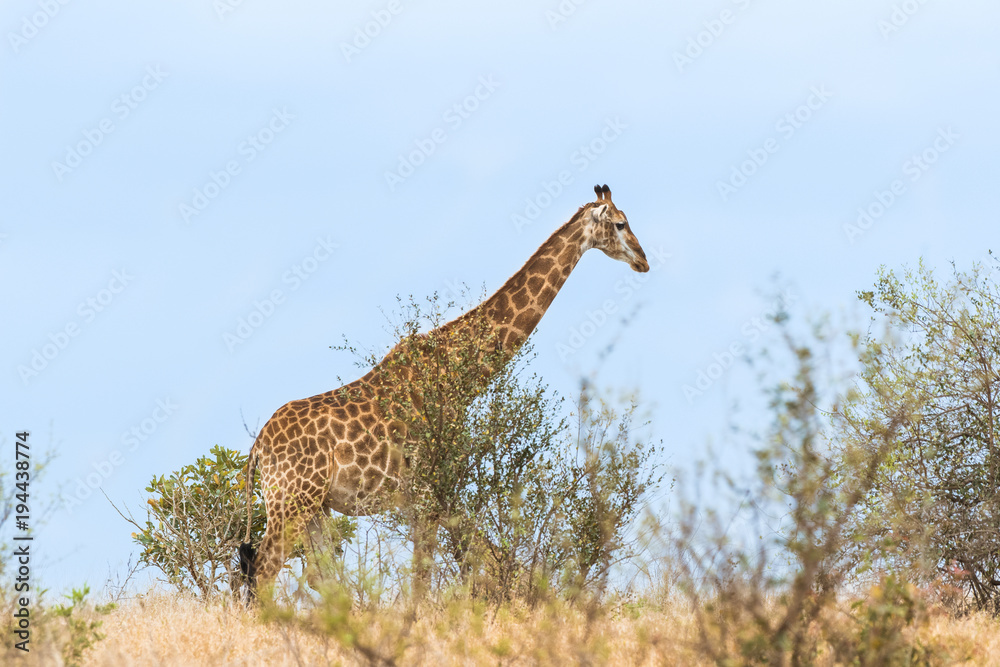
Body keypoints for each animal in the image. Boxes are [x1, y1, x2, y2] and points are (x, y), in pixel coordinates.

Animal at [238, 184, 649, 597]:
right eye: (620, 223)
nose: (644, 260)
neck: (457, 376)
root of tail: (258, 449)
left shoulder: (426, 494)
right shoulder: (430, 487)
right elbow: (430, 569)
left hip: (315, 504)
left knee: (317, 574)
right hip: (292, 498)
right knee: (267, 566)